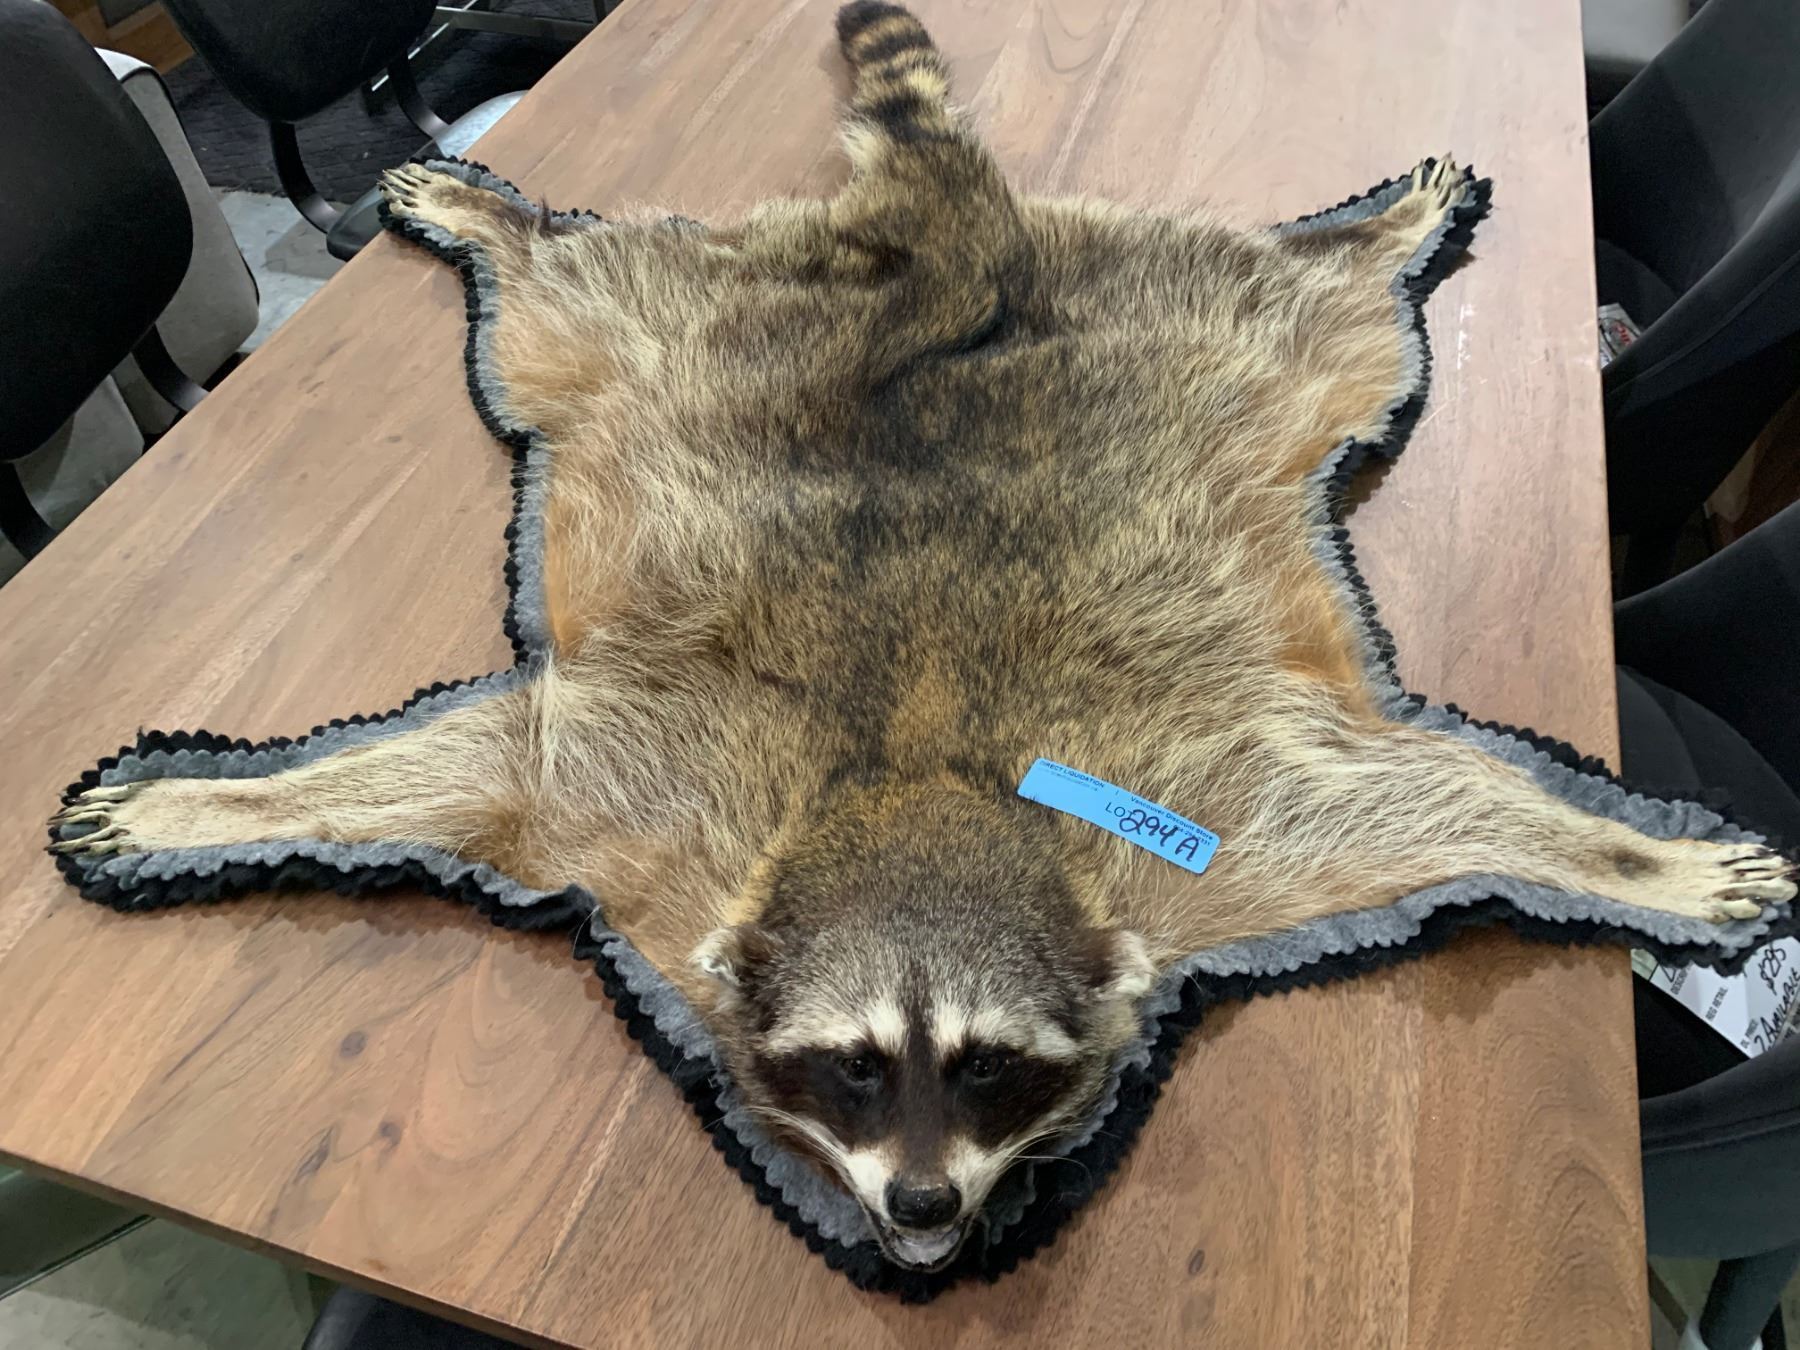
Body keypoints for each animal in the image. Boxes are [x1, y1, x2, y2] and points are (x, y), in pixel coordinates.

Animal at [52, 0, 1796, 1271]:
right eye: (849, 1067)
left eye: (985, 1067)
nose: (922, 1209)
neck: (908, 804)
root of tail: (950, 248)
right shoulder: (626, 795)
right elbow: (470, 755)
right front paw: (221, 799)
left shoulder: (1223, 827)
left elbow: (1441, 805)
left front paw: (1629, 852)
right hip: (680, 328)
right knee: (576, 279)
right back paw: (499, 215)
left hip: (1218, 341)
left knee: (1318, 311)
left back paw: (1368, 239)